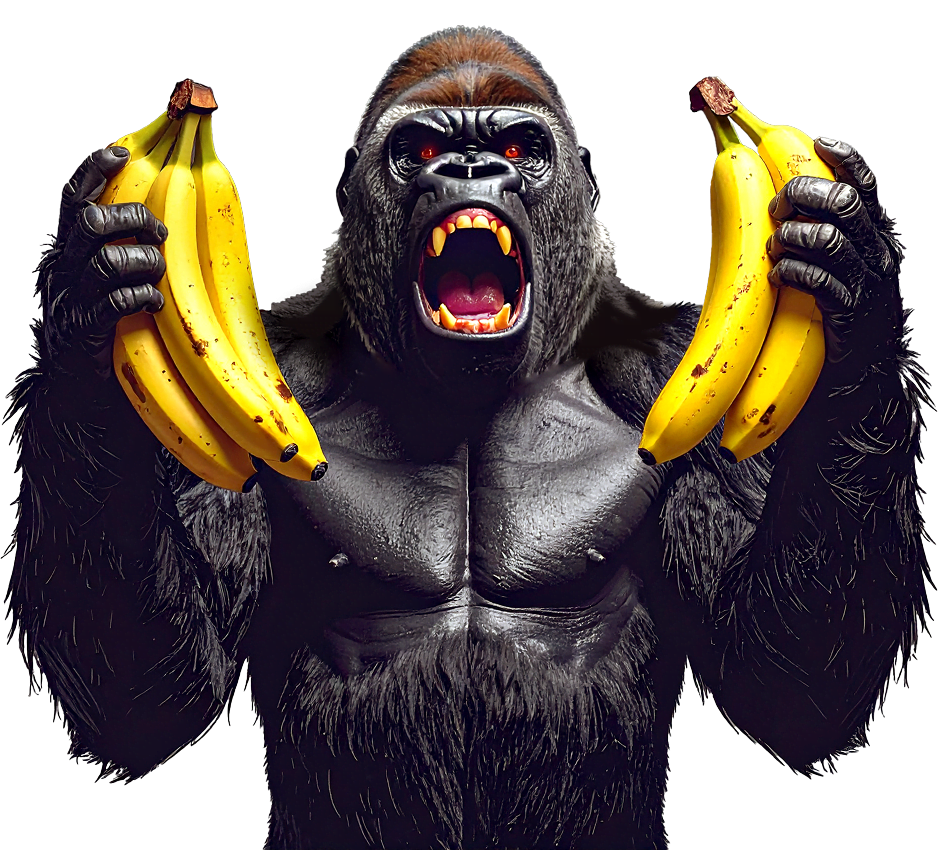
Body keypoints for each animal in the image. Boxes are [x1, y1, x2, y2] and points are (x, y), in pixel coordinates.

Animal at [5, 25, 932, 850]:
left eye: (520, 146)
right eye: (418, 149)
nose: (470, 168)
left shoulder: (673, 366)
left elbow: (787, 683)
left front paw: (856, 282)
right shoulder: (268, 370)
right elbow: (152, 696)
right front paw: (87, 294)